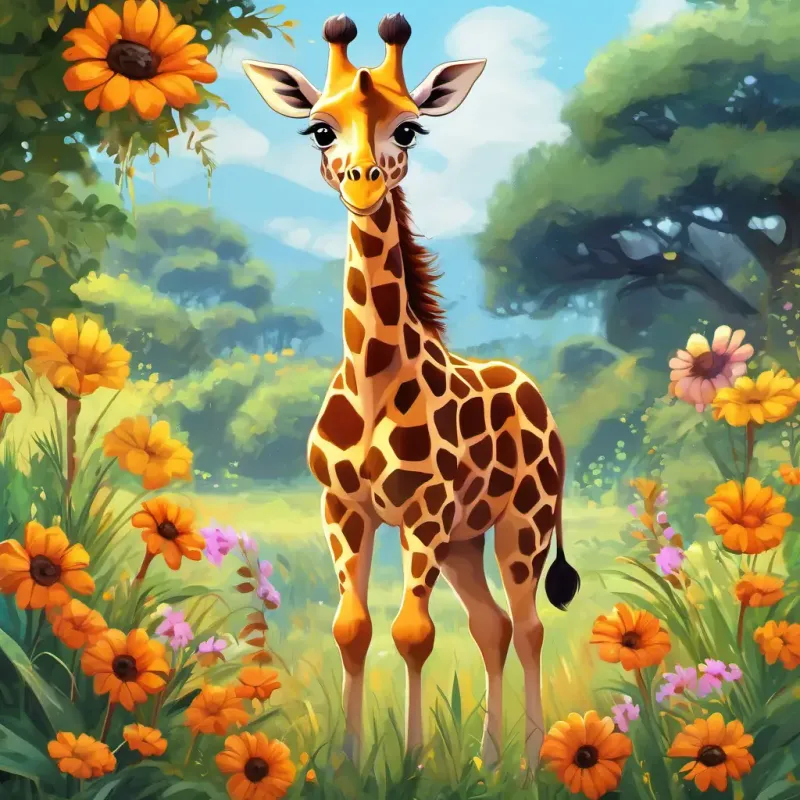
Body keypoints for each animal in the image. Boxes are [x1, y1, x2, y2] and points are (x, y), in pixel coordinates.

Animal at [243, 13, 580, 771]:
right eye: (320, 129)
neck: (372, 381)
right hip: (465, 539)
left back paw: (531, 762)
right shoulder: (345, 509)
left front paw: (414, 762)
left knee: (529, 626)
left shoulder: (421, 514)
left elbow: (412, 634)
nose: (363, 183)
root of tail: (544, 405)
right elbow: (353, 629)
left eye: (409, 129)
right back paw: (487, 762)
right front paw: (348, 762)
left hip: (522, 524)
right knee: (491, 626)